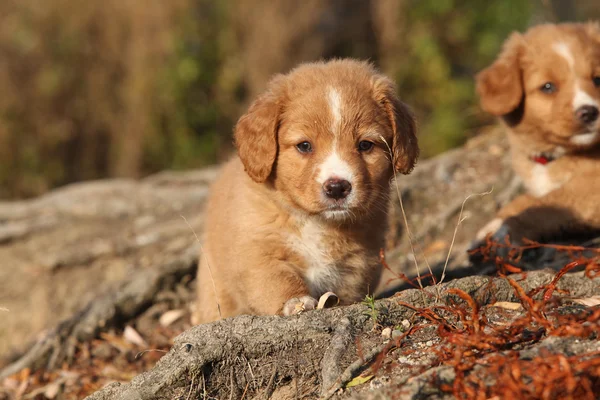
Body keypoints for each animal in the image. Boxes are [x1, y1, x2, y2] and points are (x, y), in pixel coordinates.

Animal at [195, 59, 420, 324]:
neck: (317, 223)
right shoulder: (256, 250)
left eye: (365, 145)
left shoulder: (358, 263)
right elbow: (276, 279)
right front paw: (296, 302)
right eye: (304, 146)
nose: (337, 187)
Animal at [474, 22, 600, 247]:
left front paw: (505, 228)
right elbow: (529, 198)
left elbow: (550, 201)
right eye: (548, 87)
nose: (589, 112)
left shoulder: (591, 185)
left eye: (598, 79)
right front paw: (493, 224)